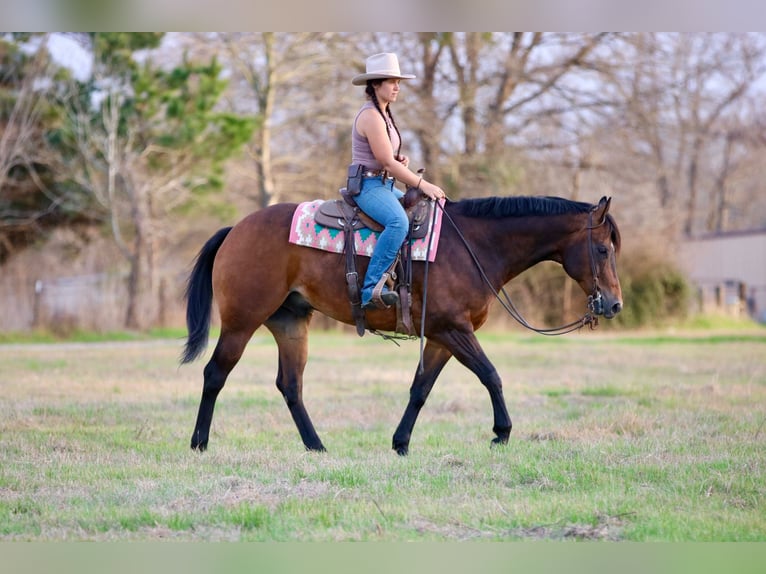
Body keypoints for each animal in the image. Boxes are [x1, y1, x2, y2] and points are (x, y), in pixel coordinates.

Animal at [181, 194, 622, 455]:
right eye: (603, 249)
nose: (614, 304)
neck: (474, 247)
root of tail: (235, 230)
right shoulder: (454, 331)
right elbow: (491, 375)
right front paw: (502, 431)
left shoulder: (443, 337)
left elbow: (420, 389)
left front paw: (400, 443)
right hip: (241, 322)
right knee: (215, 374)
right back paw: (199, 443)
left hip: (290, 324)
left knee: (290, 385)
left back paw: (316, 446)